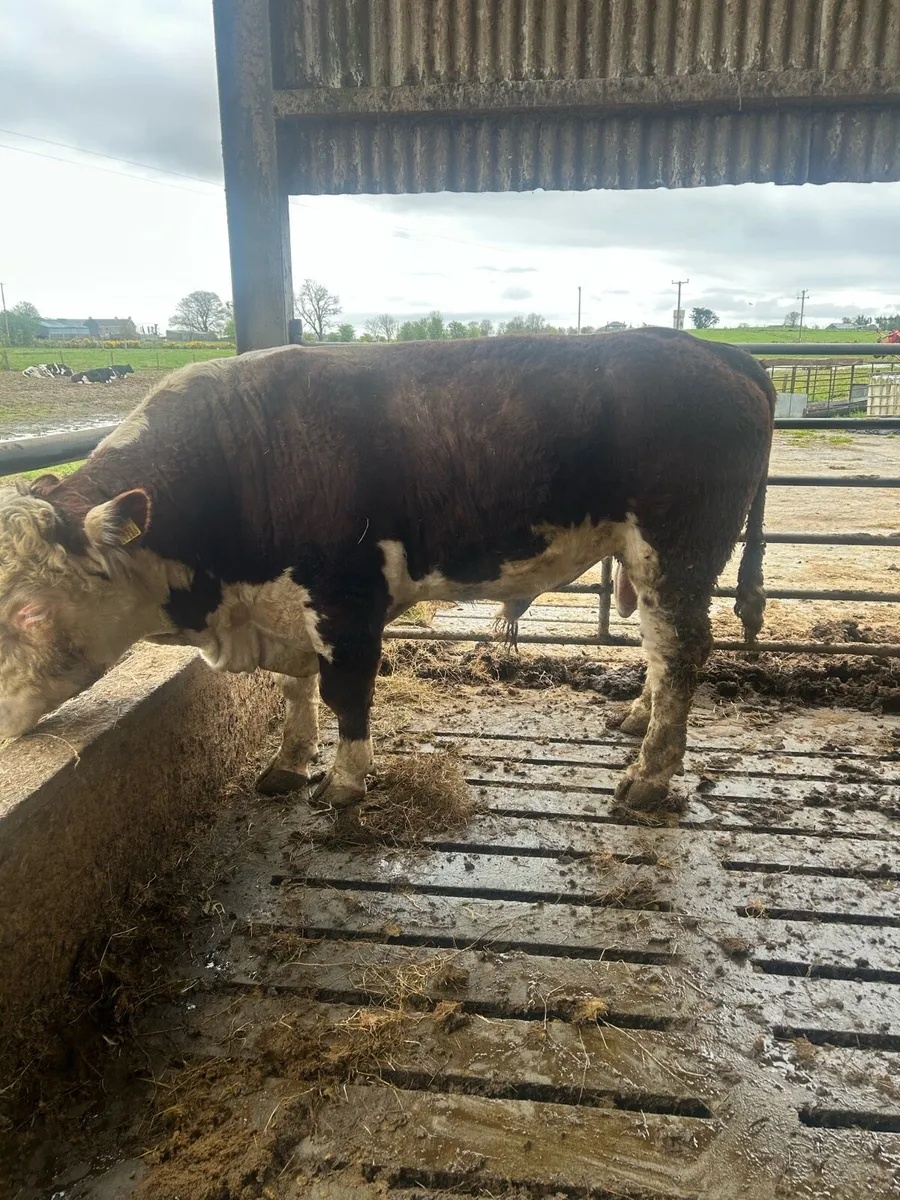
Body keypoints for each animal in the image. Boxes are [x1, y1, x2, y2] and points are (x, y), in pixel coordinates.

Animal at [0, 330, 774, 813]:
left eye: (26, 611)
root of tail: (713, 350)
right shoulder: (285, 606)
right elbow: (295, 690)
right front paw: (288, 763)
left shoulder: (346, 598)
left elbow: (345, 691)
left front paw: (343, 781)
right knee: (660, 650)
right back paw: (636, 718)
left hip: (677, 545)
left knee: (679, 648)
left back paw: (648, 777)